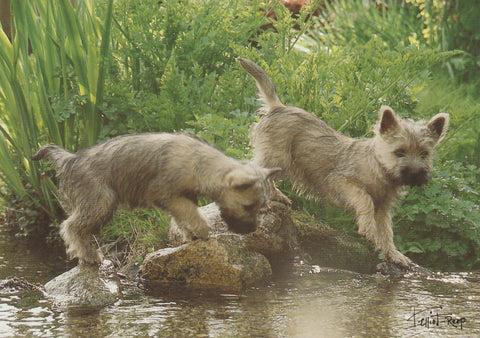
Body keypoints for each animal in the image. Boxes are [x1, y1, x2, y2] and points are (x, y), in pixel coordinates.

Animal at [31, 133, 280, 266]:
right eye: (248, 206)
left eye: (261, 207)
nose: (251, 230)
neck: (199, 165)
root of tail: (70, 159)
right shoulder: (167, 194)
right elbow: (190, 212)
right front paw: (202, 230)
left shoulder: (181, 197)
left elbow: (184, 217)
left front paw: (190, 235)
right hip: (100, 202)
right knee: (71, 227)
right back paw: (89, 254)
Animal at [238, 58, 452, 270]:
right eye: (399, 152)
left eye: (424, 154)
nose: (416, 173)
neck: (379, 168)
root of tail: (278, 106)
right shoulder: (342, 182)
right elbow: (365, 200)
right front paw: (369, 229)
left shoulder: (383, 208)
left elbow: (386, 232)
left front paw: (394, 254)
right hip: (278, 157)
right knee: (255, 171)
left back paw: (276, 195)